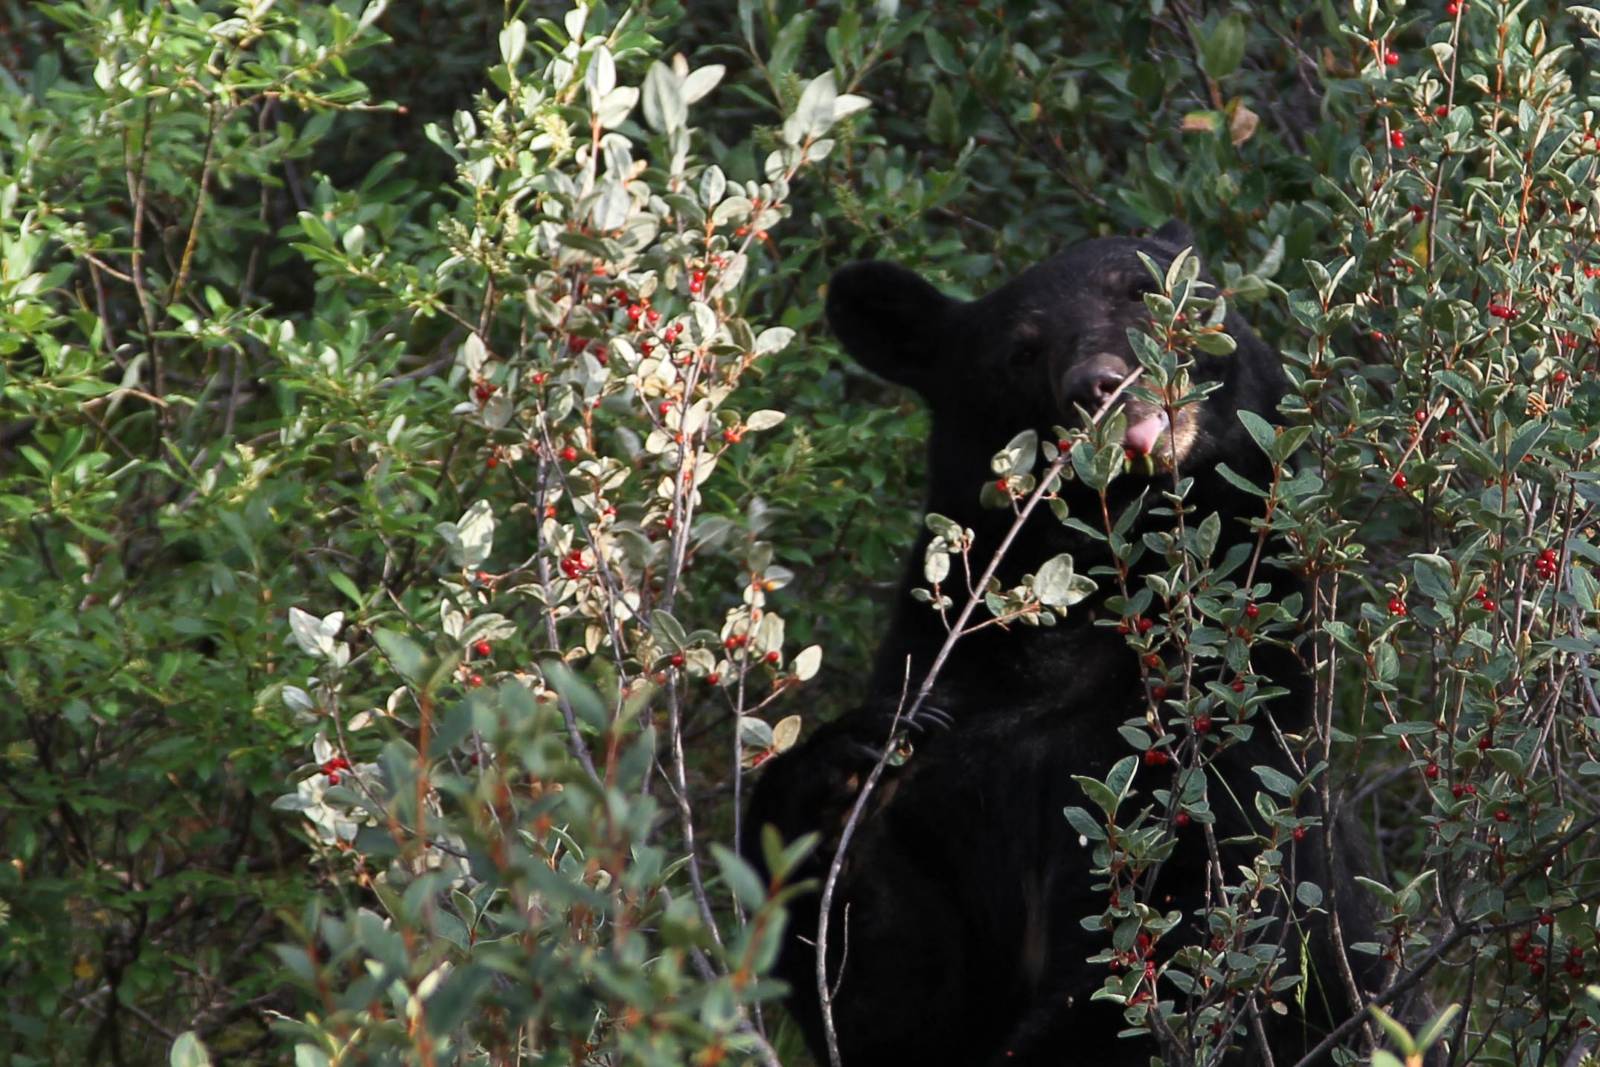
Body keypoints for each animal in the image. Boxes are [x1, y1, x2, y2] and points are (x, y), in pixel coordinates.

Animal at [743, 224, 1390, 1067]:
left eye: (1145, 291)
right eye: (1021, 350)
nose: (1100, 383)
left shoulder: (1231, 744)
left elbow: (1183, 936)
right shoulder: (952, 775)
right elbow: (891, 992)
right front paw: (843, 767)